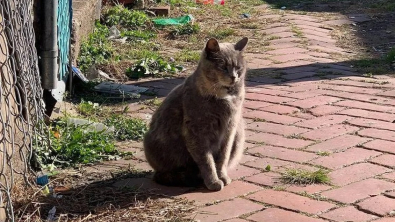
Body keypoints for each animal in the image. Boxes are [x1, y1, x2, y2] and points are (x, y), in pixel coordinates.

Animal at [143, 36, 248, 191]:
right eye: (223, 67)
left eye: (238, 68)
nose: (234, 77)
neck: (224, 98)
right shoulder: (197, 132)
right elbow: (206, 160)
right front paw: (213, 182)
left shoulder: (230, 129)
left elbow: (223, 158)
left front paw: (222, 177)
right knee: (163, 175)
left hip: (239, 133)